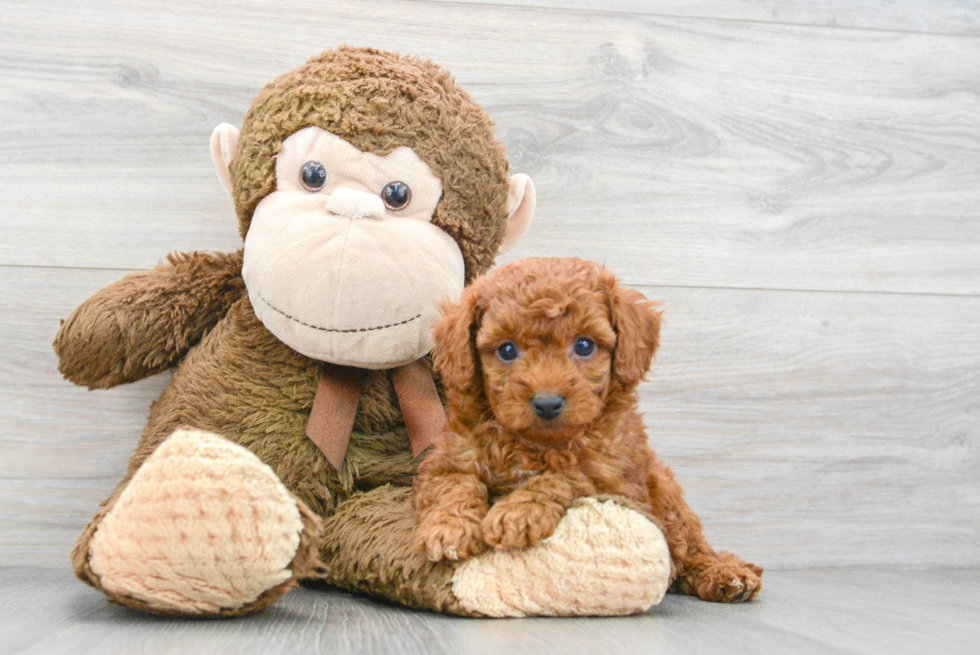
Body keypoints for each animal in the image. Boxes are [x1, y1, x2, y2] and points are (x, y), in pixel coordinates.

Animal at [414, 258, 764, 604]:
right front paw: (450, 529)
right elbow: (456, 484)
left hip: (666, 494)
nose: (547, 403)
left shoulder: (615, 480)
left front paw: (517, 512)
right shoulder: (445, 462)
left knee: (689, 546)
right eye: (507, 350)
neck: (536, 444)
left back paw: (724, 574)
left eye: (584, 345)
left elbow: (568, 475)